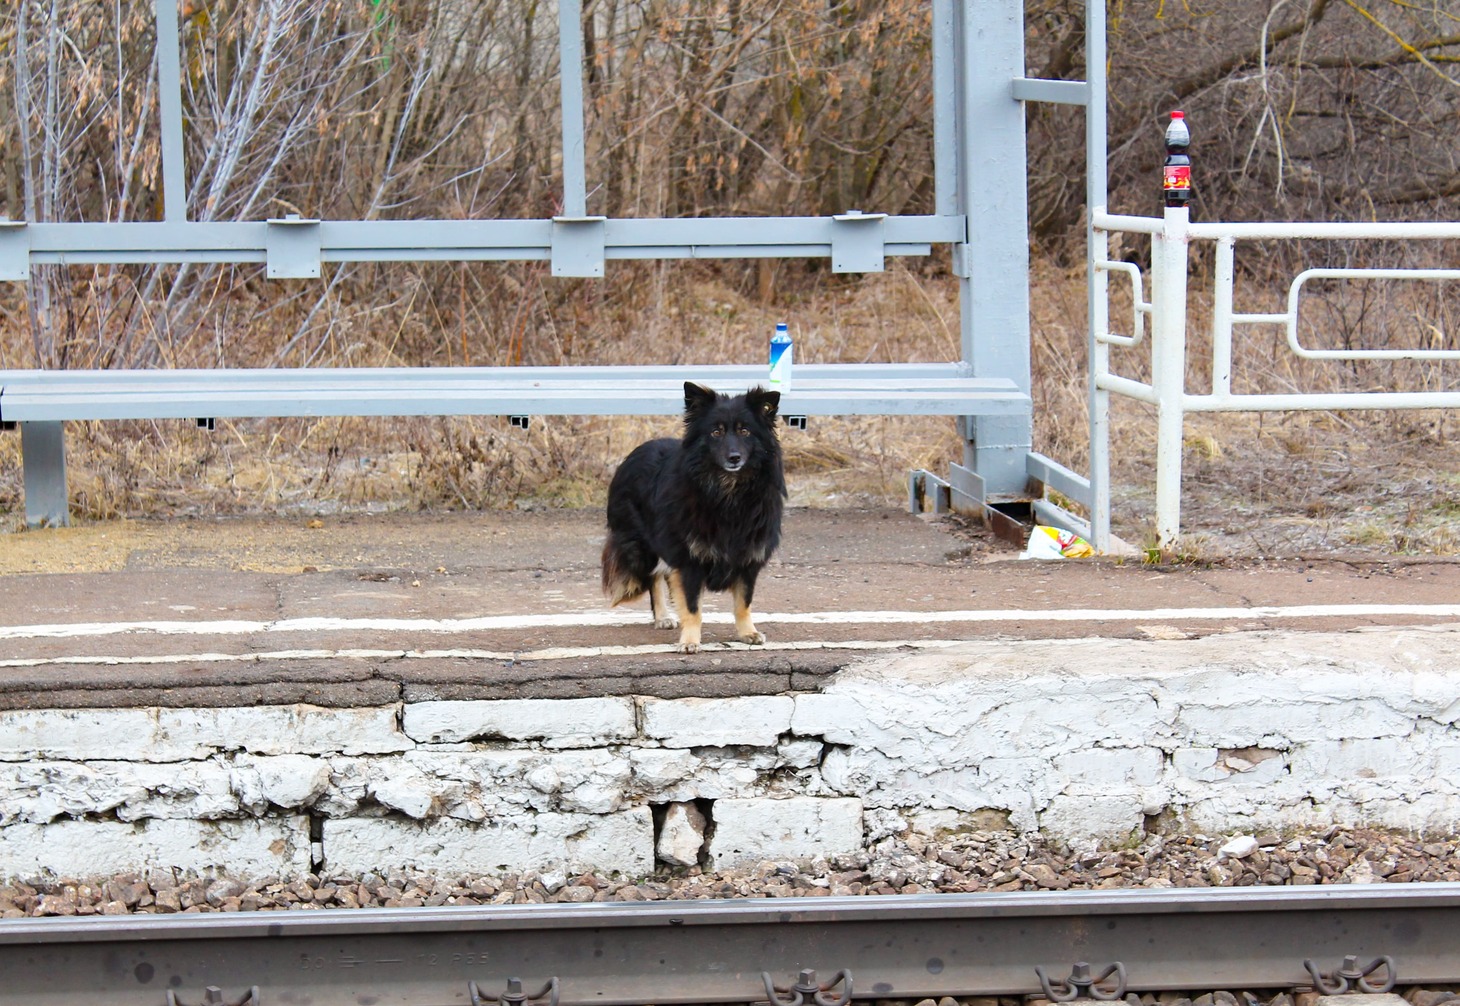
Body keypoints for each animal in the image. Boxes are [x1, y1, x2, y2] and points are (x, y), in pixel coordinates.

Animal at [601, 382, 788, 651]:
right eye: (716, 432)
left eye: (745, 431)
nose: (734, 458)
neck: (728, 491)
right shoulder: (689, 559)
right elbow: (692, 606)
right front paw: (690, 641)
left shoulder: (748, 560)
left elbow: (743, 602)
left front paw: (748, 633)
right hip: (644, 545)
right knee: (653, 577)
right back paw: (663, 616)